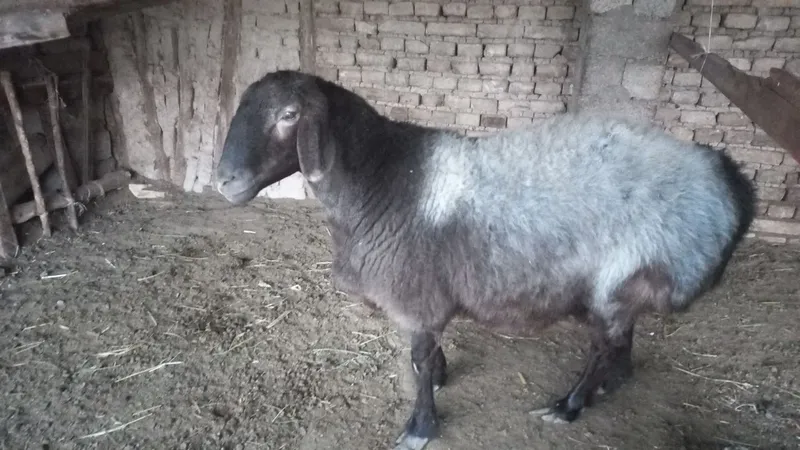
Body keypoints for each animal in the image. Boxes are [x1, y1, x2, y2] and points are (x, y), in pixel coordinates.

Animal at [214, 70, 756, 450]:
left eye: (289, 115)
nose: (223, 181)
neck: (381, 180)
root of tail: (727, 176)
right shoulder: (427, 298)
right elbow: (428, 356)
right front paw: (440, 376)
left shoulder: (414, 295)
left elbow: (418, 359)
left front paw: (420, 426)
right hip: (625, 285)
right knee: (622, 339)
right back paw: (611, 384)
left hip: (621, 277)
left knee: (603, 347)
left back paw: (569, 405)